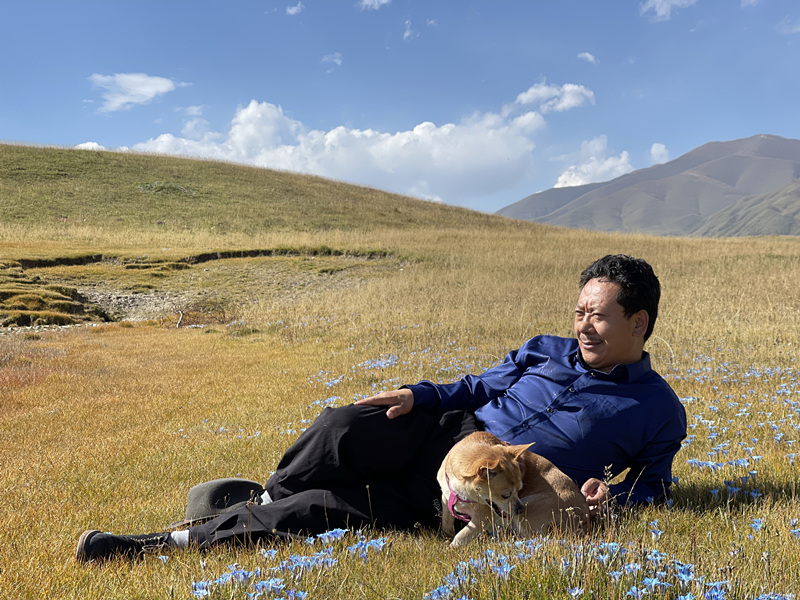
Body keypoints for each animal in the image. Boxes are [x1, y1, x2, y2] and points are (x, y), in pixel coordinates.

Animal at [437, 431, 589, 547]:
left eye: (520, 489)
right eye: (506, 495)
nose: (521, 508)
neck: (462, 493)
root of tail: (583, 523)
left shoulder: (482, 518)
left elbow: (462, 535)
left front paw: (451, 549)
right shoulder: (446, 498)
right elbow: (447, 521)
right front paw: (447, 535)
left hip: (528, 511)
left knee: (533, 539)